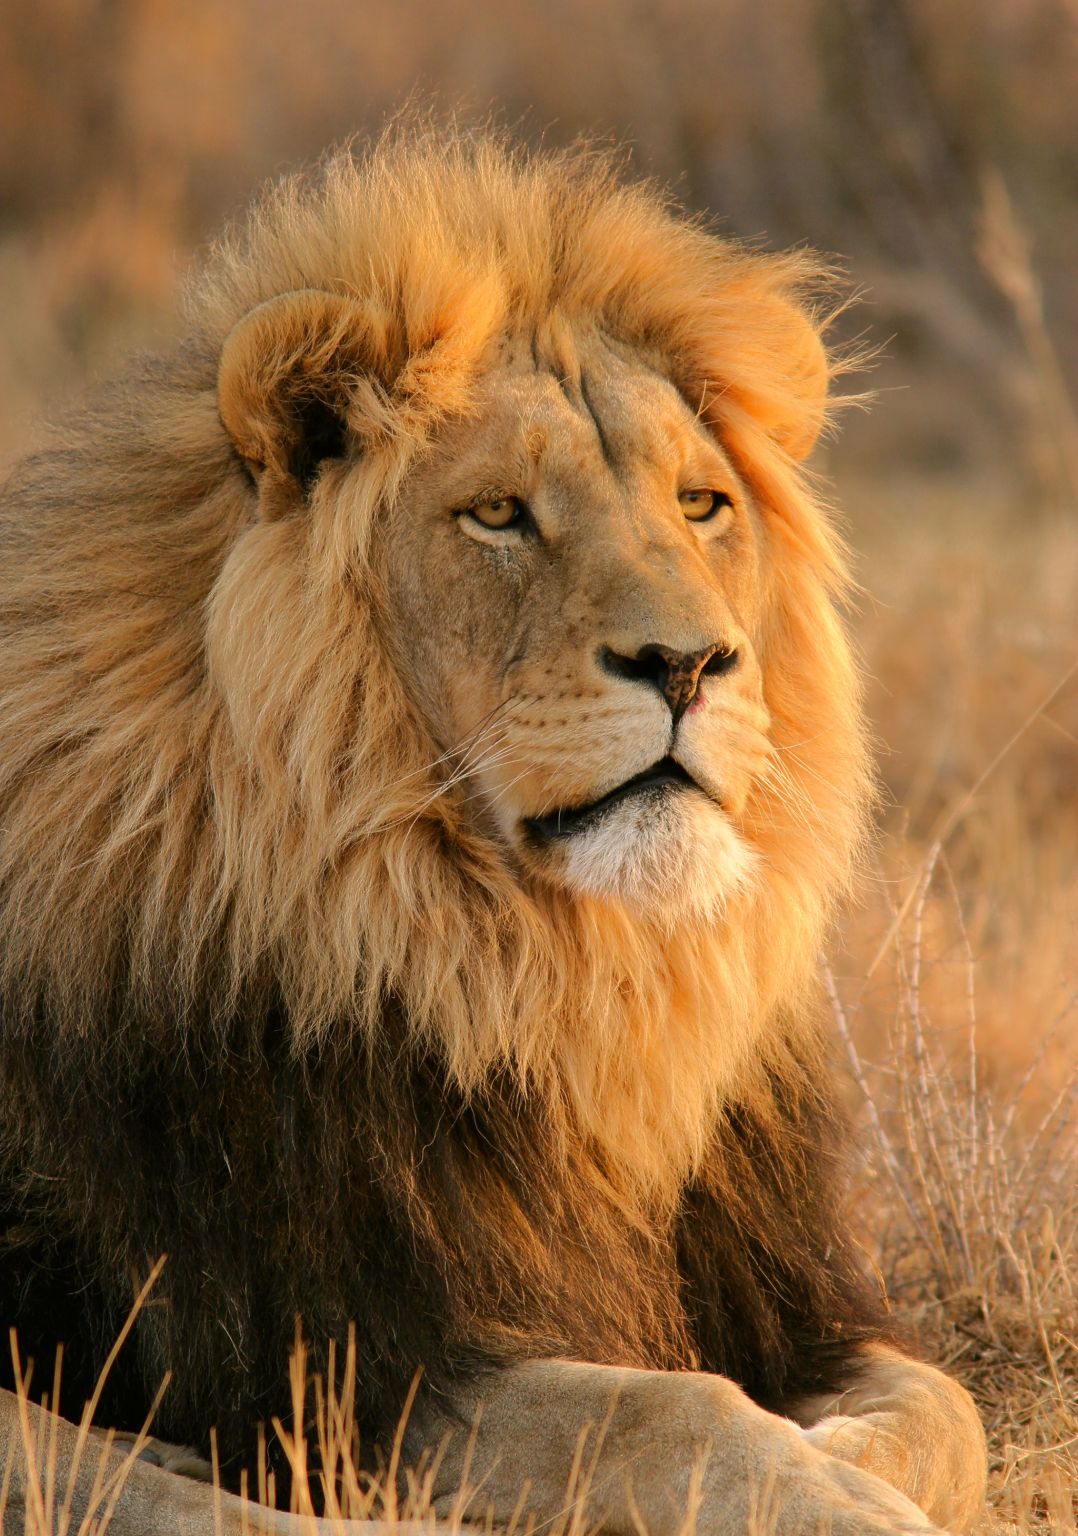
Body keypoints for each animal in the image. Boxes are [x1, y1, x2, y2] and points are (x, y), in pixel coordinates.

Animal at [0, 126, 986, 1536]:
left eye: (700, 505)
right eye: (499, 514)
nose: (690, 664)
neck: (548, 985)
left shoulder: (774, 1295)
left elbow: (943, 1407)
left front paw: (849, 1459)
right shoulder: (354, 1360)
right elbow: (667, 1410)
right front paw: (839, 1503)